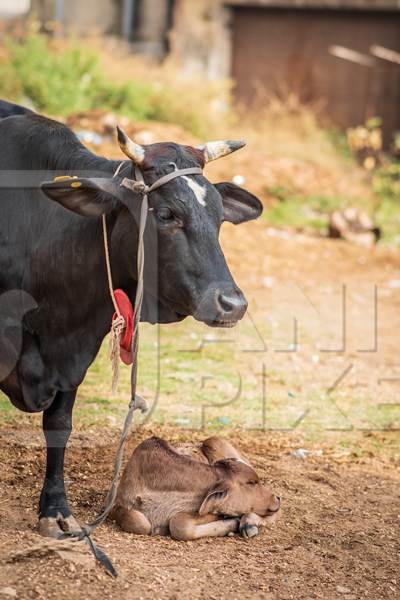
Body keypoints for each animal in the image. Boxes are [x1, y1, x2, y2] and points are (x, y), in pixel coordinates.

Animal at [0, 101, 262, 536]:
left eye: (219, 217)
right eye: (166, 213)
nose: (232, 303)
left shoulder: (77, 348)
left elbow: (59, 425)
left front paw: (55, 509)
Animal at [111, 434, 282, 540]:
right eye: (251, 483)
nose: (277, 498)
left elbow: (179, 523)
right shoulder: (118, 505)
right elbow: (139, 522)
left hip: (214, 441)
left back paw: (249, 523)